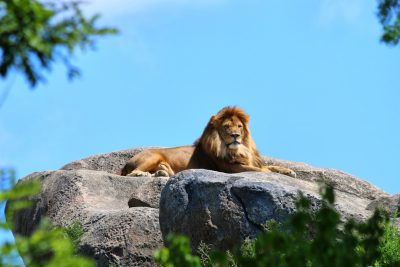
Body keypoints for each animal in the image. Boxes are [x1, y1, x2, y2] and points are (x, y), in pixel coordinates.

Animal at [120, 107, 296, 178]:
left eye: (239, 126)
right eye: (226, 127)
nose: (235, 135)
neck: (238, 149)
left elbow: (270, 167)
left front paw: (288, 171)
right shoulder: (232, 168)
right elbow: (263, 170)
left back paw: (161, 172)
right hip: (153, 156)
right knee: (132, 173)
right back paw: (144, 174)